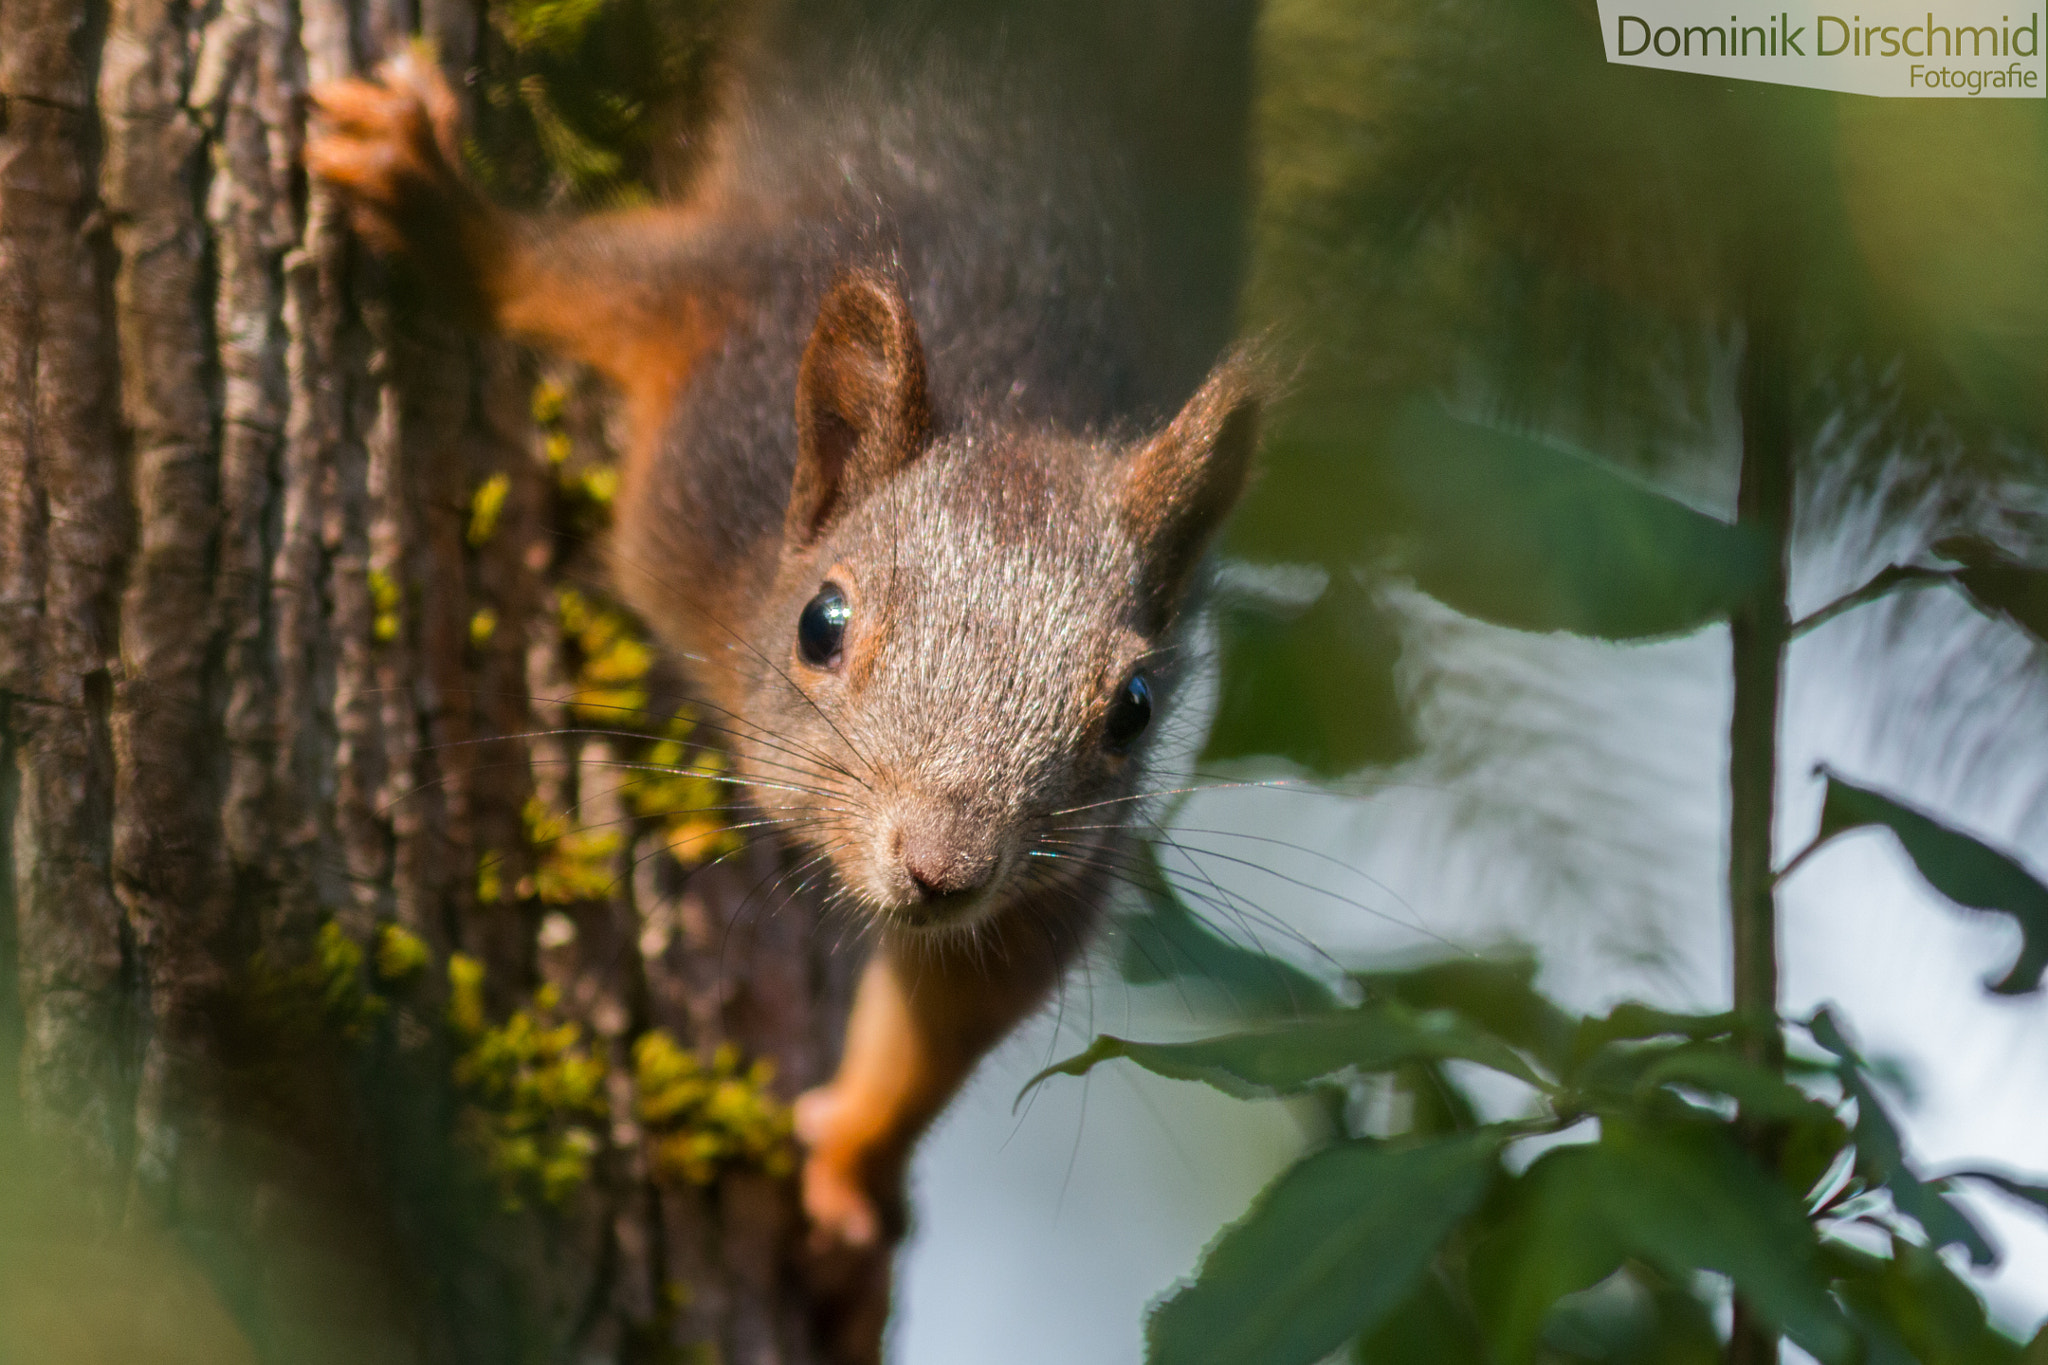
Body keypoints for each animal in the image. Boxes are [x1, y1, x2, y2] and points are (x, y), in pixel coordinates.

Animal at [305, 31, 1261, 1365]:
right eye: (822, 622)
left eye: (1132, 705)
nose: (940, 869)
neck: (1023, 386)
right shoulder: (727, 332)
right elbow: (581, 278)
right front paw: (433, 200)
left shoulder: (1060, 866)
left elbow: (965, 996)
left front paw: (851, 1179)